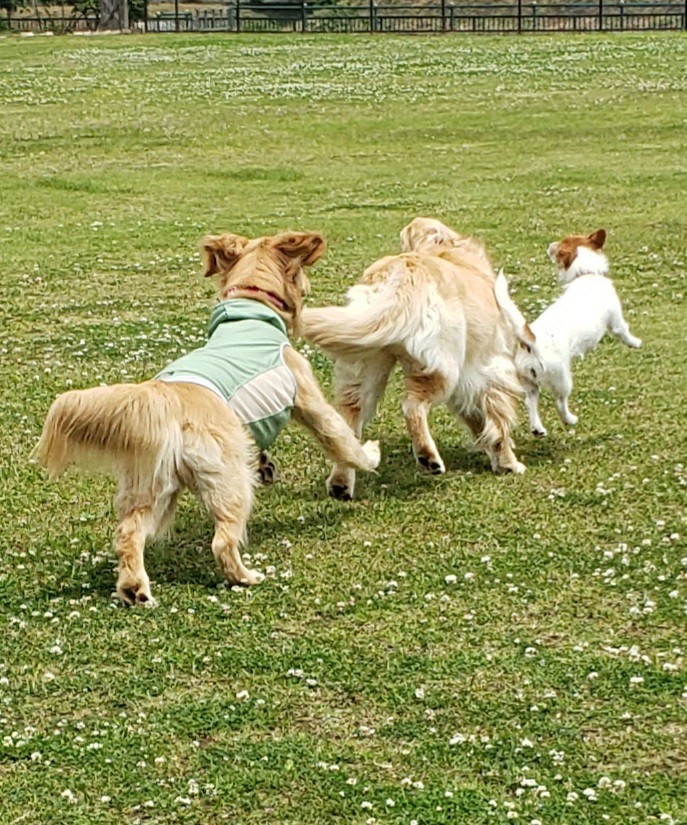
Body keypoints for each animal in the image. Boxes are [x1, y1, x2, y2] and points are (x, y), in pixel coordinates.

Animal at [31, 231, 380, 606]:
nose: (309, 286)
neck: (251, 305)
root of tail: (167, 400)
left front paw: (267, 464)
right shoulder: (308, 398)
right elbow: (343, 440)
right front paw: (369, 456)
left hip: (153, 489)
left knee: (128, 532)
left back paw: (134, 588)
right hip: (229, 481)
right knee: (222, 542)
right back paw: (245, 576)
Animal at [300, 218, 525, 500]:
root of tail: (399, 272)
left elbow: (479, 420)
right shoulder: (493, 367)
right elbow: (497, 422)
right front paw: (509, 462)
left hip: (365, 364)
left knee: (349, 422)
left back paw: (341, 483)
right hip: (441, 368)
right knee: (412, 406)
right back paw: (429, 457)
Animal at [494, 228, 642, 436]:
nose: (549, 245)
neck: (586, 274)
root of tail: (531, 341)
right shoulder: (616, 321)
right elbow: (624, 332)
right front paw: (636, 342)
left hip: (529, 381)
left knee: (530, 402)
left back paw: (538, 428)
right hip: (562, 379)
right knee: (560, 403)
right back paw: (570, 419)